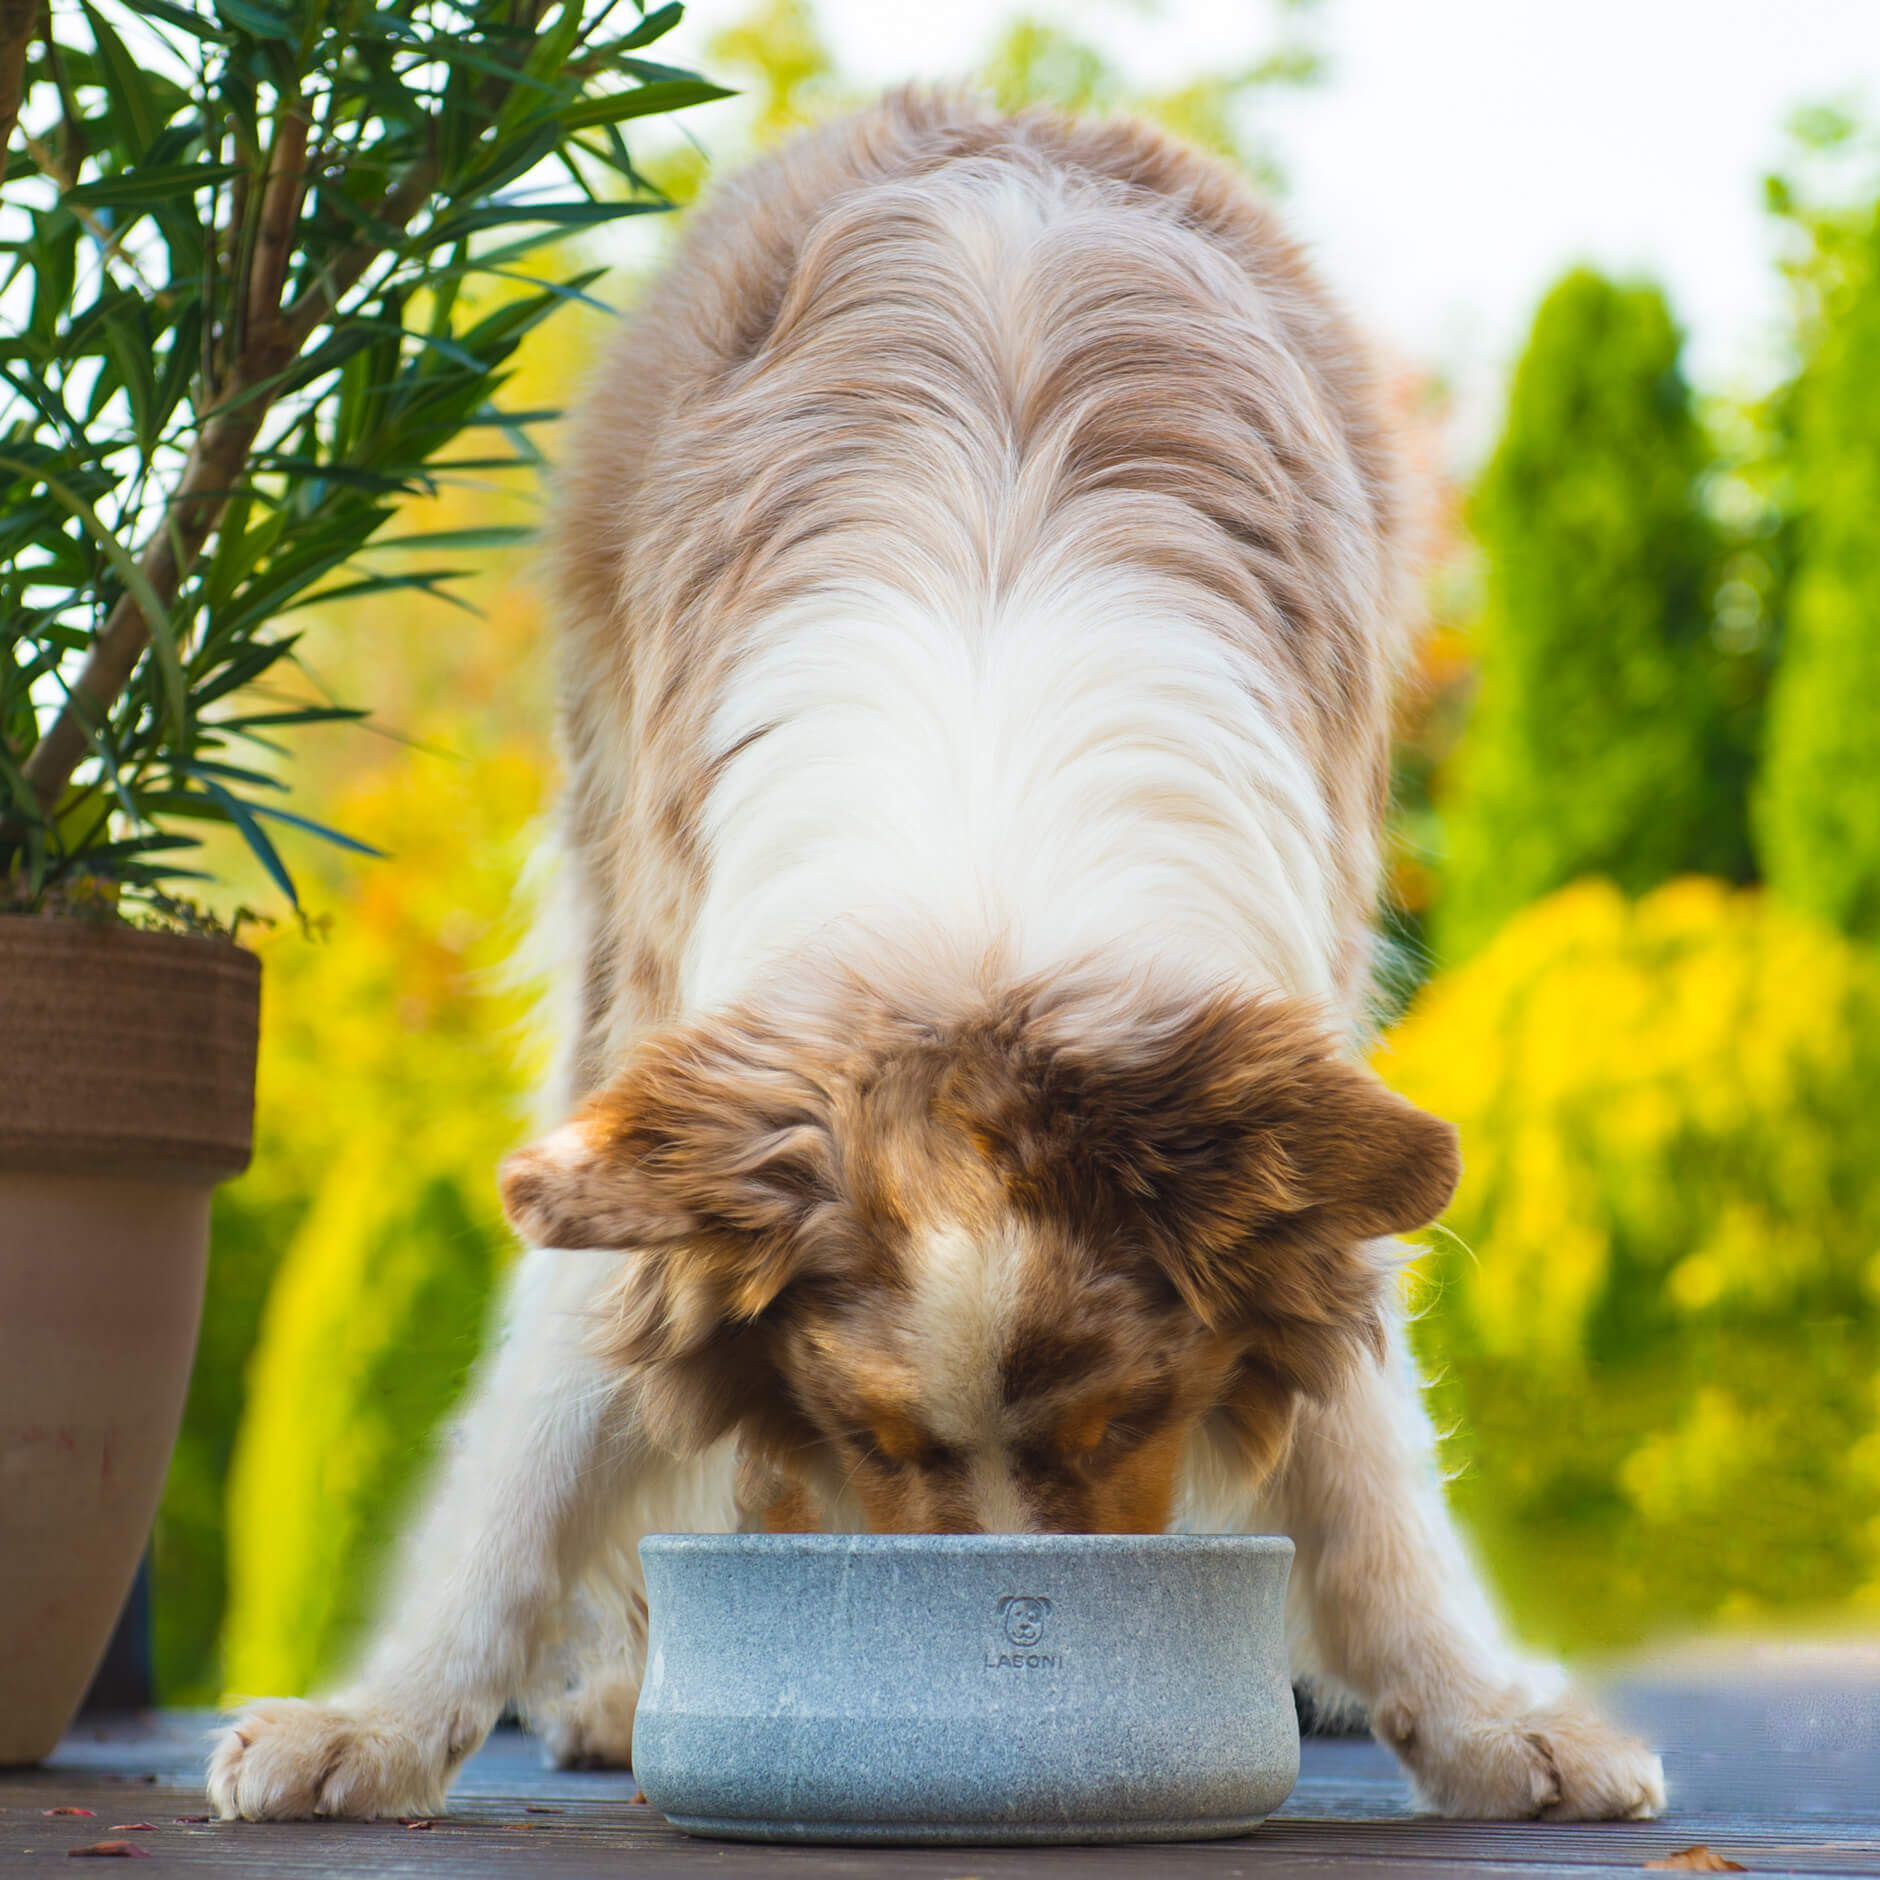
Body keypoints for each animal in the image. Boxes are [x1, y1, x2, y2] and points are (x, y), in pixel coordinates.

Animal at [213, 91, 1669, 1819]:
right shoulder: (664, 1068)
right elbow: (541, 1439)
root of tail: (1001, 109)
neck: (987, 895)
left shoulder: (1301, 1054)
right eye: (880, 1444)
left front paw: (1488, 1718)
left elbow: (1367, 1459)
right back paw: (631, 1684)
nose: (1016, 1652)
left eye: (1129, 1422)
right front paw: (372, 1724)